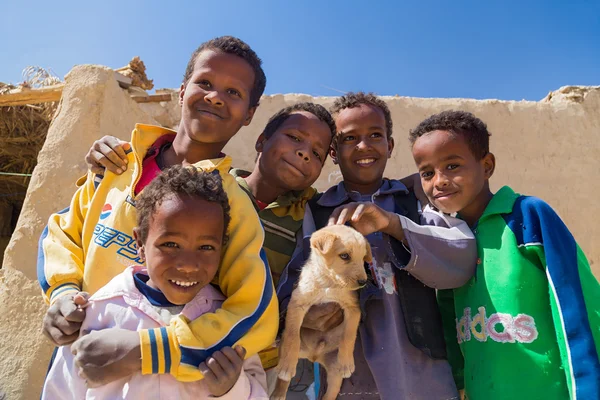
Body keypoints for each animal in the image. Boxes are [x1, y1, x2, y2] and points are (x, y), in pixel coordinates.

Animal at [272, 225, 370, 400]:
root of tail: (314, 356)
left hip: (334, 376)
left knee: (330, 394)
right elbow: (292, 335)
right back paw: (279, 391)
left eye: (363, 257)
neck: (329, 283)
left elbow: (349, 335)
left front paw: (346, 363)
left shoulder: (353, 308)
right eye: (344, 256)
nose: (363, 282)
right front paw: (286, 366)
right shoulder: (297, 303)